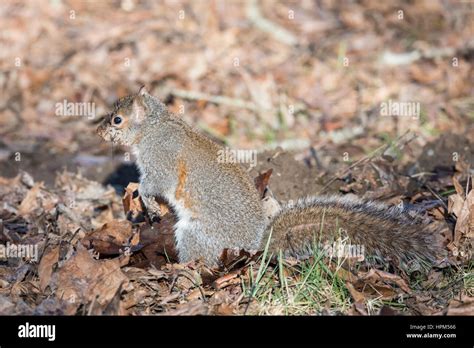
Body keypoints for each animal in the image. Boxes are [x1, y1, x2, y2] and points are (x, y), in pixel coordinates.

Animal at [96, 87, 444, 270]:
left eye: (117, 120)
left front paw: (144, 196)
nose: (99, 131)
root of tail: (253, 245)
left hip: (198, 234)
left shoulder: (161, 158)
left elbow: (156, 183)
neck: (153, 127)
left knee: (202, 258)